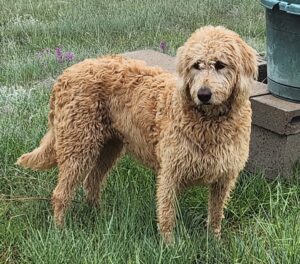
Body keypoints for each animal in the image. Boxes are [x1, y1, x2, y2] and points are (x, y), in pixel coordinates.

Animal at [17, 26, 258, 241]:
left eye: (220, 65)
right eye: (196, 65)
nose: (203, 94)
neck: (209, 121)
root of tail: (64, 75)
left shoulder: (224, 178)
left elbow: (216, 215)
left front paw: (214, 242)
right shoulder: (170, 173)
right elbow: (167, 214)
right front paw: (169, 247)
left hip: (109, 147)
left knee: (91, 183)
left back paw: (99, 217)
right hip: (78, 145)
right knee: (61, 193)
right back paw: (61, 231)